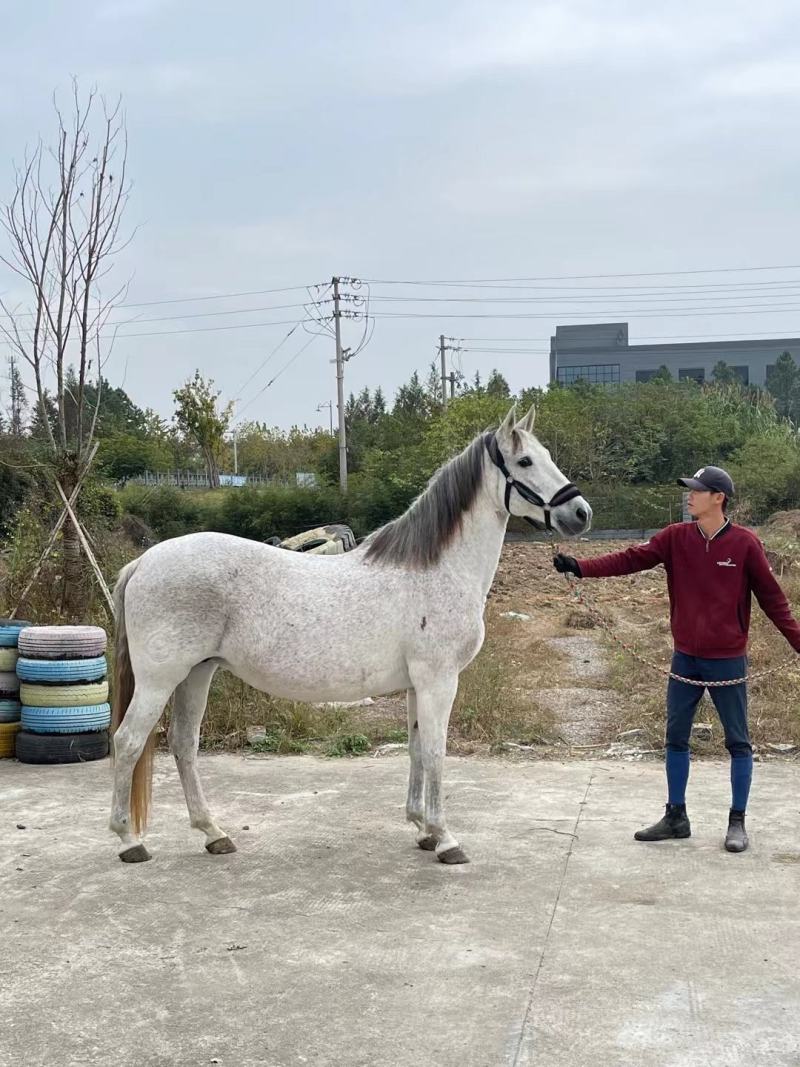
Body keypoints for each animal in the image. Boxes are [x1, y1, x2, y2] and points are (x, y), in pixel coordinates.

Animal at [109, 404, 591, 864]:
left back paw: (214, 834)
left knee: (183, 744)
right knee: (128, 742)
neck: (436, 571)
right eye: (525, 461)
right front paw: (445, 839)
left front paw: (422, 829)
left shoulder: (418, 685)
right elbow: (436, 752)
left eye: (547, 455)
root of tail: (143, 562)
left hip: (197, 673)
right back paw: (129, 840)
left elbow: (416, 749)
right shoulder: (438, 681)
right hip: (160, 680)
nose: (580, 513)